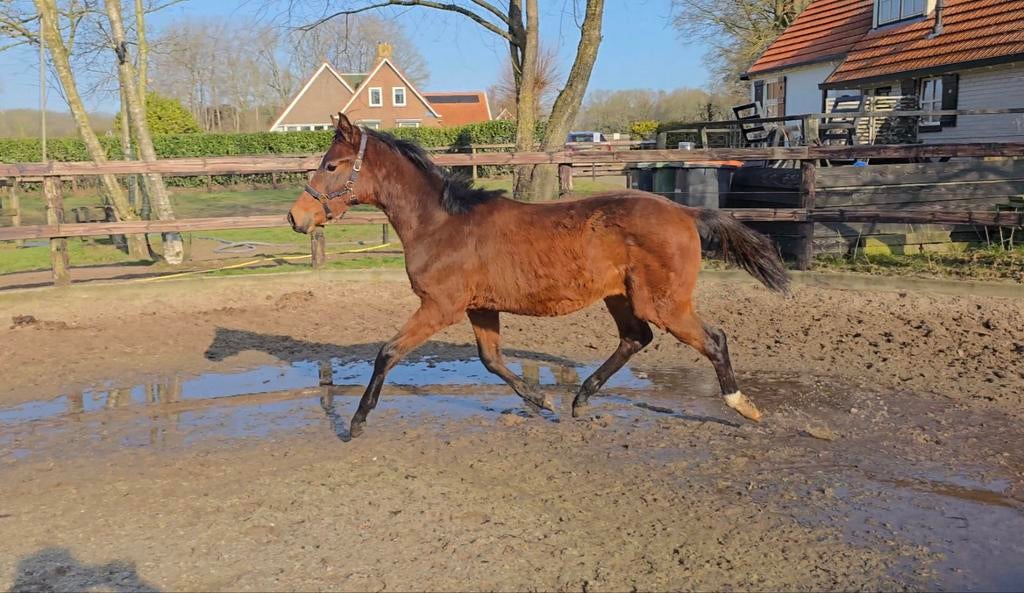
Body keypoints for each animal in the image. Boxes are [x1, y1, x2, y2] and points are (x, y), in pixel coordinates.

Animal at [287, 113, 789, 437]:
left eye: (331, 165)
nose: (296, 217)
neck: (442, 222)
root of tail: (686, 212)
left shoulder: (440, 306)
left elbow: (387, 353)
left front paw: (356, 422)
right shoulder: (479, 307)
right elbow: (491, 360)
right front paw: (540, 401)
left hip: (663, 302)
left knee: (713, 339)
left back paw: (743, 407)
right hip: (621, 296)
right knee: (635, 338)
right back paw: (580, 399)